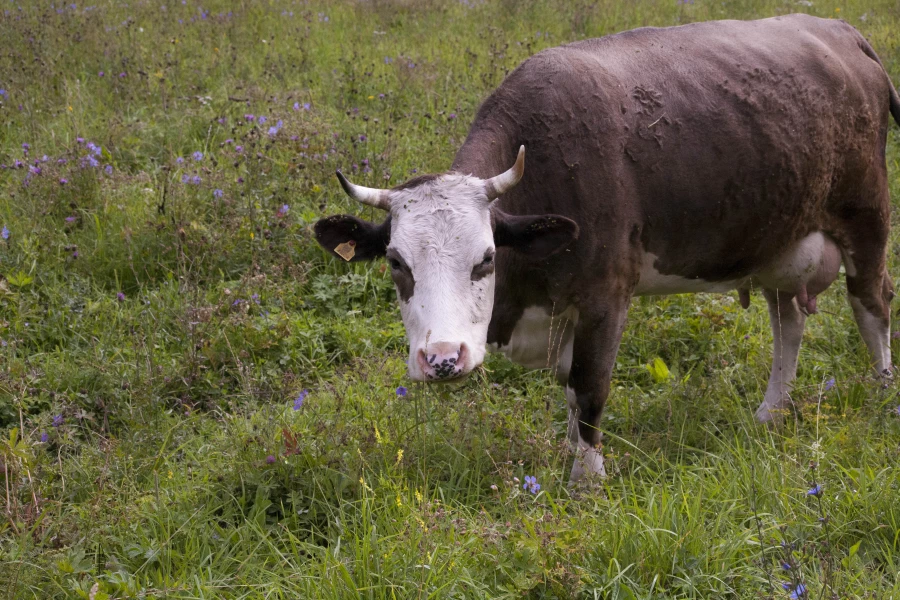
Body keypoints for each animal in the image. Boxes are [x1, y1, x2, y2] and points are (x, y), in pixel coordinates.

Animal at [314, 14, 900, 480]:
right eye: (396, 262)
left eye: (486, 259)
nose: (440, 359)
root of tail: (840, 31)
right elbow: (570, 391)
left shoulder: (605, 297)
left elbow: (588, 386)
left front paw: (588, 479)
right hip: (781, 238)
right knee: (789, 324)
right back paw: (770, 413)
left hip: (866, 218)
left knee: (872, 304)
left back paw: (882, 396)